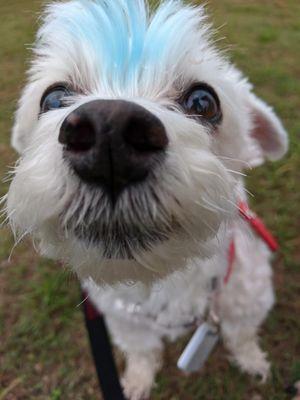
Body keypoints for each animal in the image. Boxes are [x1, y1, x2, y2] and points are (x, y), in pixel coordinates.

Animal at [4, 0, 288, 400]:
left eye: (203, 101)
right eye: (53, 98)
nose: (109, 133)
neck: (163, 280)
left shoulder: (246, 300)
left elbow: (242, 335)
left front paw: (253, 362)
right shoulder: (125, 320)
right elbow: (141, 351)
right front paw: (137, 381)